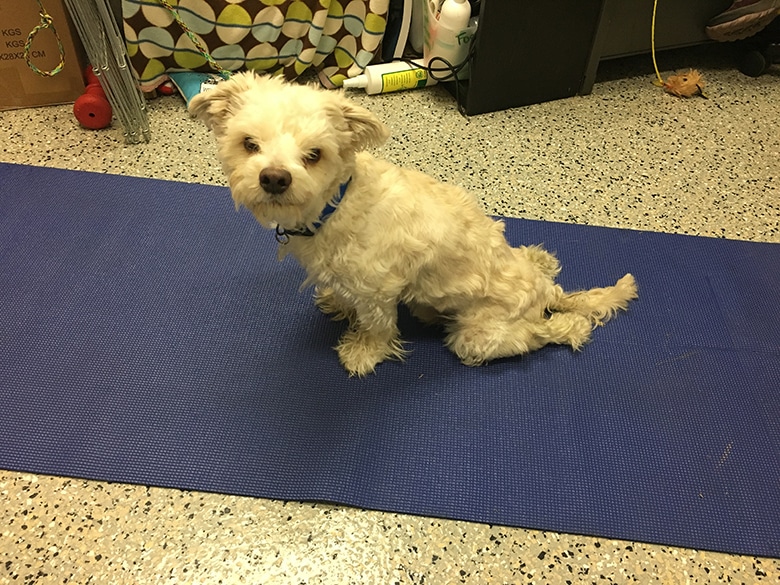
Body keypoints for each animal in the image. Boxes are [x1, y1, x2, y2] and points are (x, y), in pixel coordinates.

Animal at [190, 73, 640, 376]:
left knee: (547, 332)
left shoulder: (378, 290)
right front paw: (338, 304)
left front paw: (363, 352)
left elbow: (375, 327)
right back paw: (539, 257)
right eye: (250, 144)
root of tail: (546, 291)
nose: (274, 178)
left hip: (477, 338)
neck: (338, 203)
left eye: (314, 155)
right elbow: (343, 295)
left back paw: (573, 327)